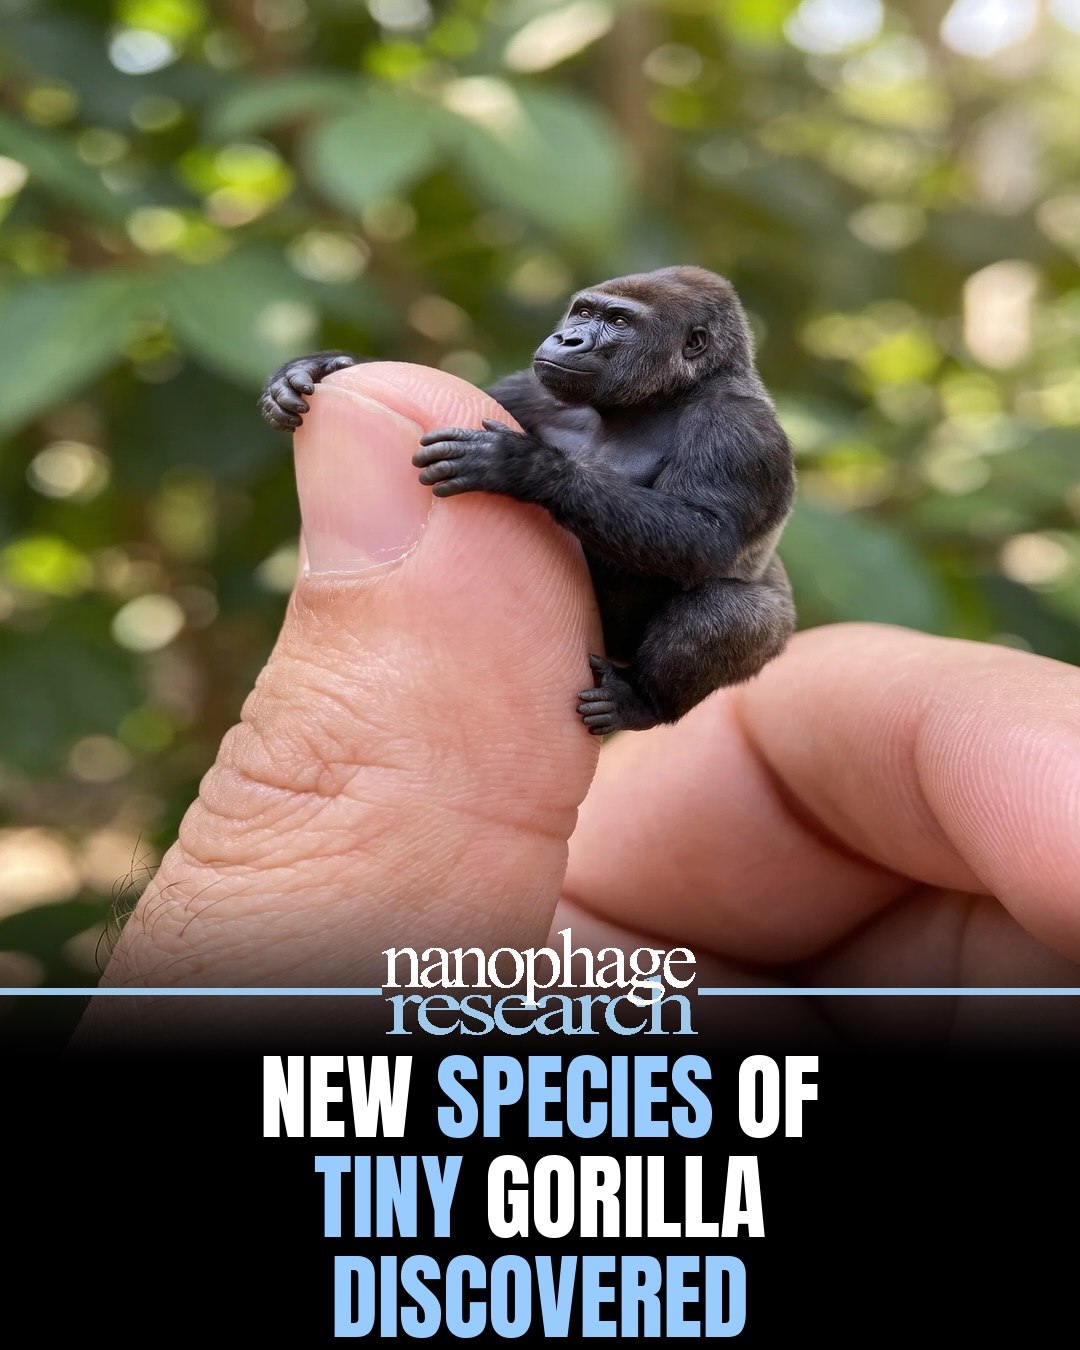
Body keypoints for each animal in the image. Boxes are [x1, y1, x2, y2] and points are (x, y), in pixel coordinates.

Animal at [260, 266, 796, 735]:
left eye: (619, 322)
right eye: (583, 313)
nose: (568, 340)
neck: (667, 395)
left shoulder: (739, 429)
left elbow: (704, 536)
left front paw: (524, 466)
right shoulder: (537, 390)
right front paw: (314, 367)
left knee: (732, 613)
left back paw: (641, 701)